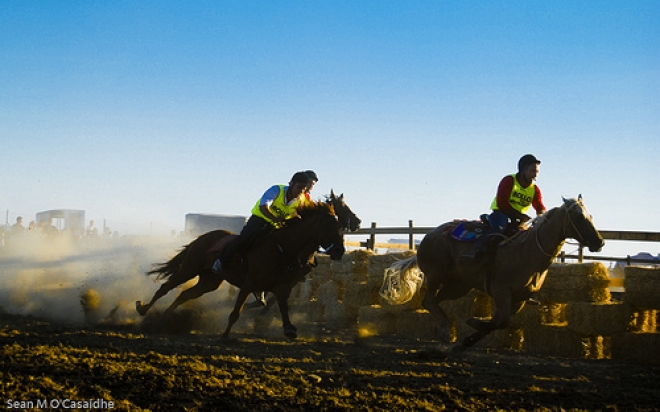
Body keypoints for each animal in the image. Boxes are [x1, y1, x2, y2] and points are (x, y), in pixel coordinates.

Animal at [137, 195, 358, 340]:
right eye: (330, 224)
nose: (339, 250)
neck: (283, 246)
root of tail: (203, 237)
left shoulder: (284, 286)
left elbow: (280, 306)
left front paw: (287, 328)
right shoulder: (249, 283)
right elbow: (238, 310)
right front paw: (226, 334)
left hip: (210, 281)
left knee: (185, 295)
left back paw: (164, 318)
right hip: (189, 268)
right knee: (165, 287)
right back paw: (143, 309)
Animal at [382, 196, 604, 350]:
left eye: (591, 216)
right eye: (578, 216)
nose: (599, 242)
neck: (527, 251)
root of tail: (429, 235)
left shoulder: (519, 299)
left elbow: (498, 323)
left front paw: (468, 339)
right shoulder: (501, 292)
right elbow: (501, 321)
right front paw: (473, 323)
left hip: (459, 286)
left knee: (434, 301)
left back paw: (443, 329)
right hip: (437, 274)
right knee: (428, 300)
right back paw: (445, 329)